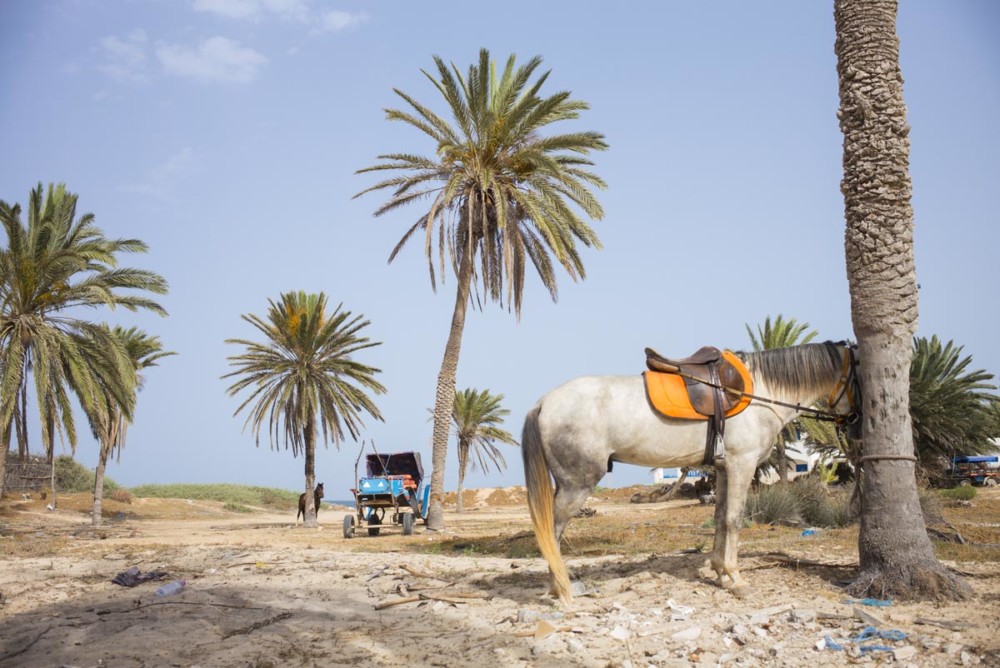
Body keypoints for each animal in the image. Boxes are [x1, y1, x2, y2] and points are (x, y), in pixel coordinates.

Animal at [524, 342, 860, 604]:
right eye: (859, 371)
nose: (856, 420)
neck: (761, 393)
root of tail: (544, 403)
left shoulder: (724, 468)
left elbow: (721, 517)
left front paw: (719, 571)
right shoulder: (742, 464)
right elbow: (734, 519)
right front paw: (735, 578)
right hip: (576, 485)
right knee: (551, 530)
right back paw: (561, 589)